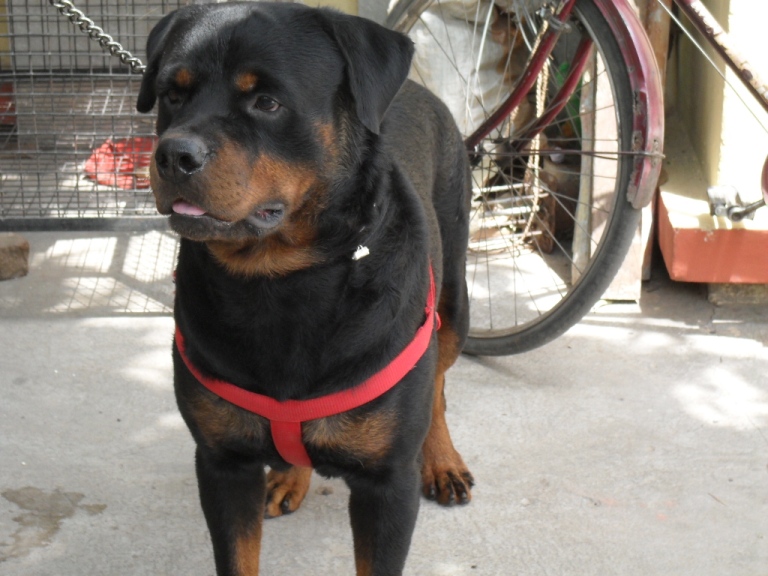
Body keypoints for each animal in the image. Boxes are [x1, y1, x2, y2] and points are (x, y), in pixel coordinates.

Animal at [138, 2, 474, 572]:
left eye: (267, 102)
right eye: (171, 95)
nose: (173, 155)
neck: (282, 281)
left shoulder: (387, 486)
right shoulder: (222, 464)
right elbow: (238, 554)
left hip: (453, 299)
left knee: (439, 383)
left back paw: (442, 458)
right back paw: (290, 476)